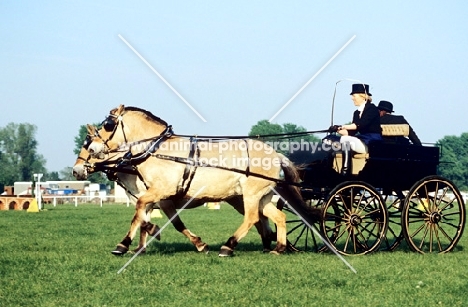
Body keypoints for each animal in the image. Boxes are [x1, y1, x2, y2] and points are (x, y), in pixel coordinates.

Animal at [88, 106, 314, 258]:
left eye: (108, 125)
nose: (92, 149)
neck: (158, 150)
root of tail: (276, 154)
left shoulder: (162, 191)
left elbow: (142, 211)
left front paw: (130, 241)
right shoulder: (154, 194)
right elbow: (141, 215)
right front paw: (133, 242)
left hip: (250, 195)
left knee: (252, 218)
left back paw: (228, 246)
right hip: (262, 196)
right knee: (278, 217)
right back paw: (278, 247)